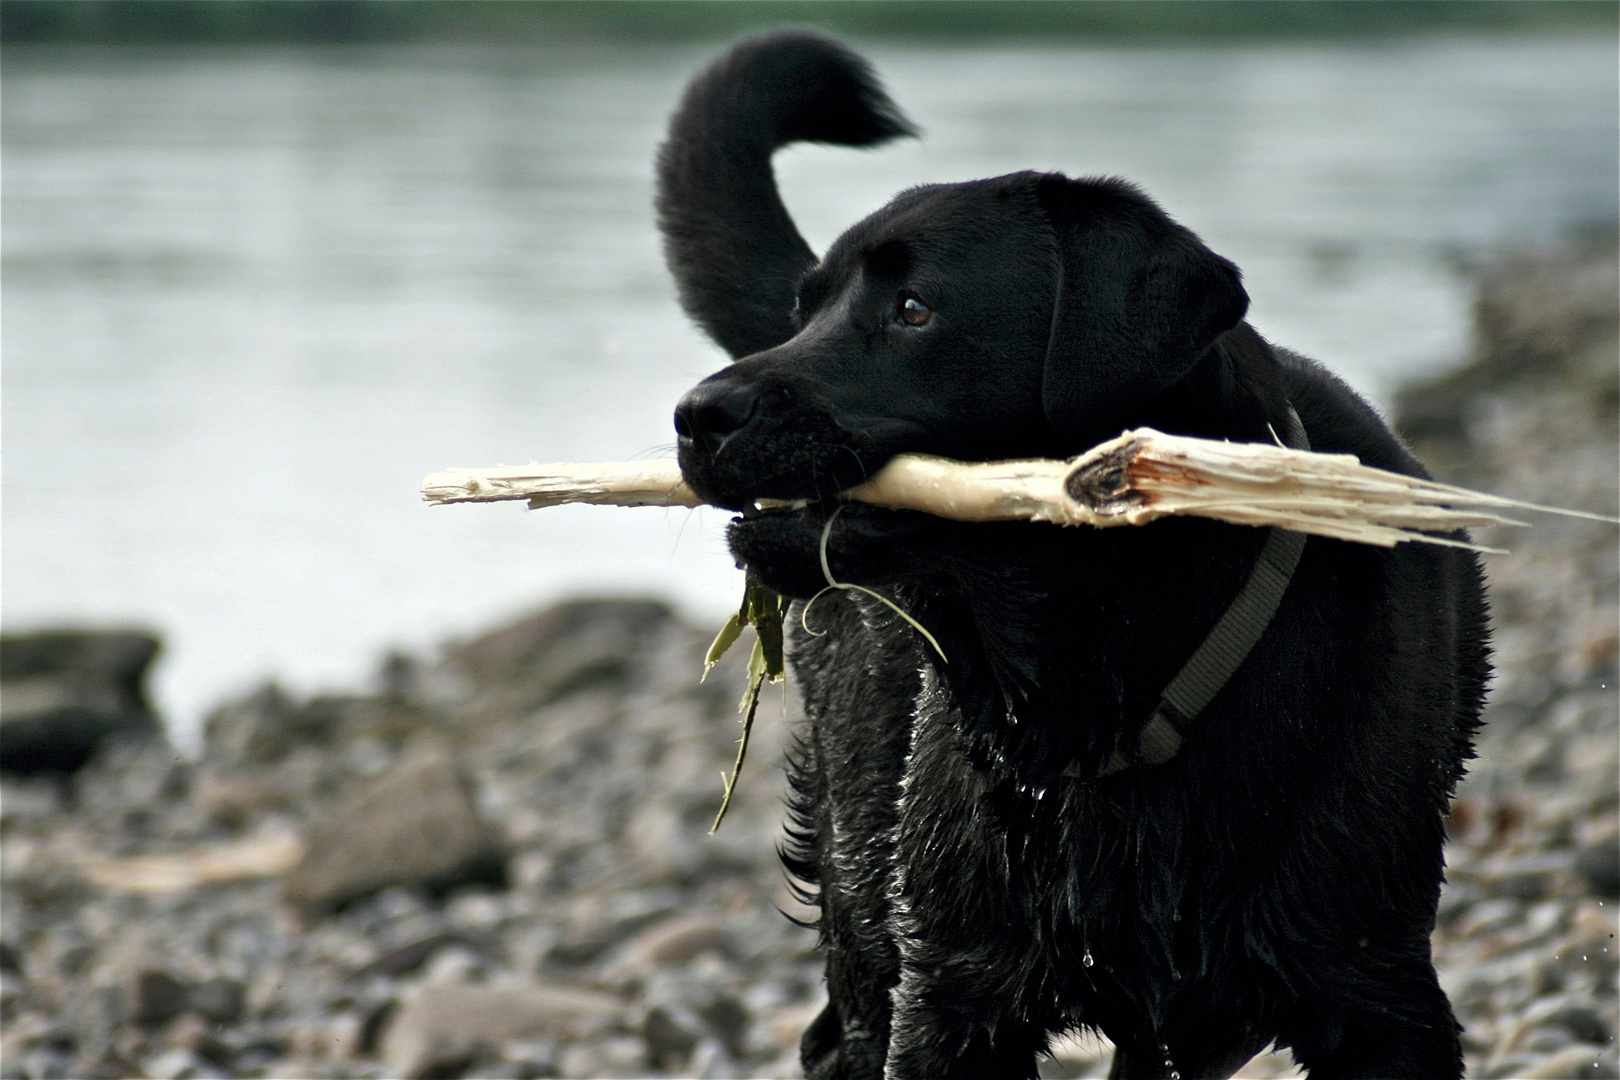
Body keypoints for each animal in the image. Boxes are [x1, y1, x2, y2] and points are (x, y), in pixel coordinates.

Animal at [654, 29, 1483, 1075]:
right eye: (808, 314)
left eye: (915, 309)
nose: (696, 415)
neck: (1108, 681)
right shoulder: (954, 995)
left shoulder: (1379, 992)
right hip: (867, 880)